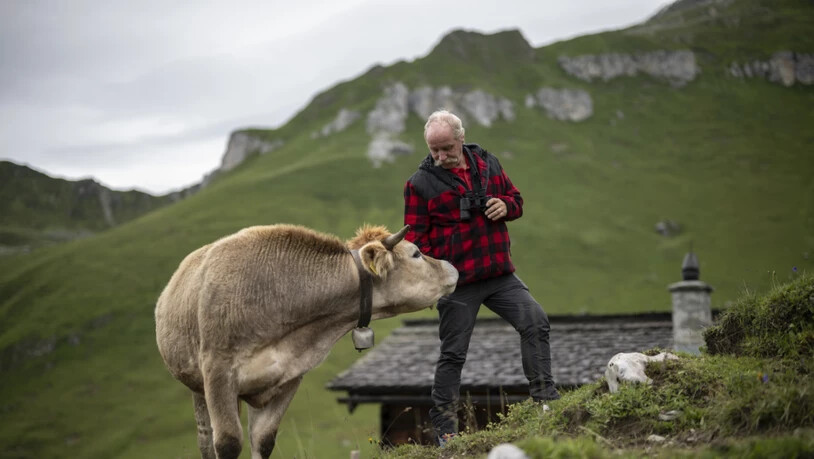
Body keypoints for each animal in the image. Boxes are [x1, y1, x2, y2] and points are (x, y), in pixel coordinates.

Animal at [155, 223, 457, 459]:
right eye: (416, 253)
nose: (452, 266)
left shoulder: (288, 376)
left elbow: (263, 441)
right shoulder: (218, 372)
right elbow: (227, 444)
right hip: (198, 387)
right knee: (206, 442)